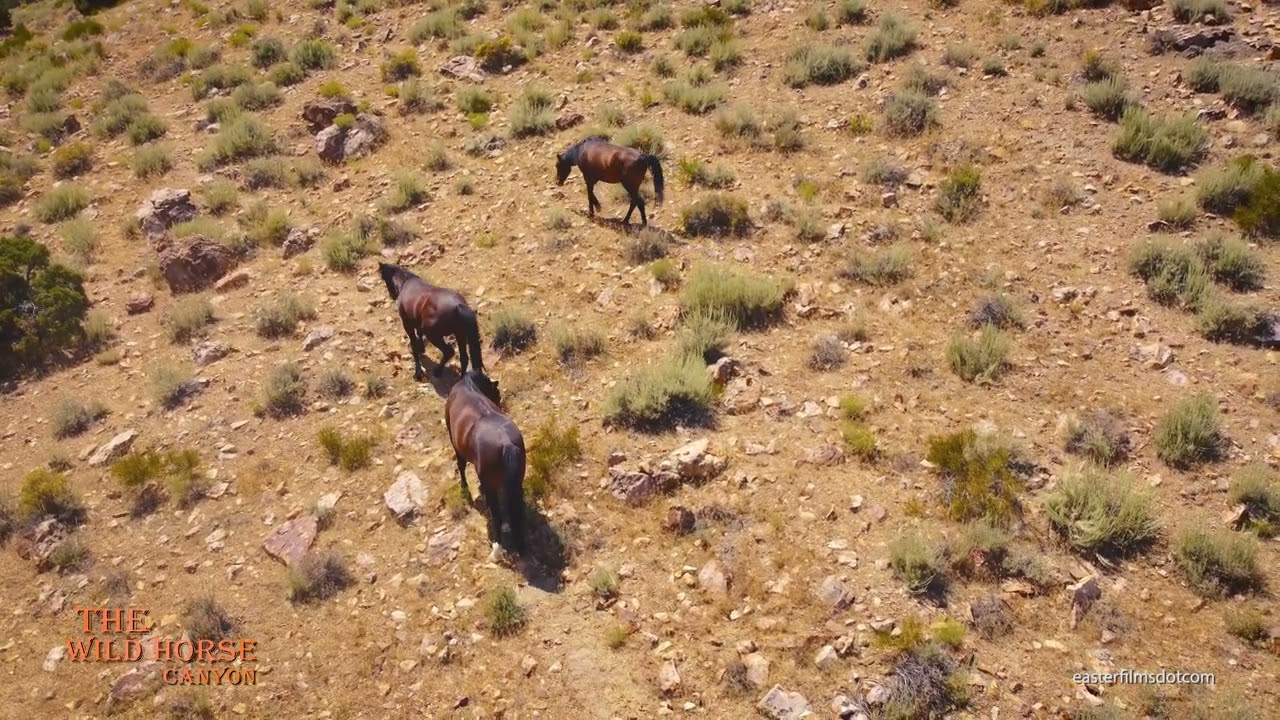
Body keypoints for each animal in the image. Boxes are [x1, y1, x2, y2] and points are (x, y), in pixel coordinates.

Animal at [445, 370, 527, 555]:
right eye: (496, 392)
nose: (501, 403)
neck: (467, 386)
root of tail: (506, 443)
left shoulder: (456, 446)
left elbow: (461, 467)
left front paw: (464, 490)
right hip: (516, 483)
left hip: (491, 486)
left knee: (496, 513)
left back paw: (498, 545)